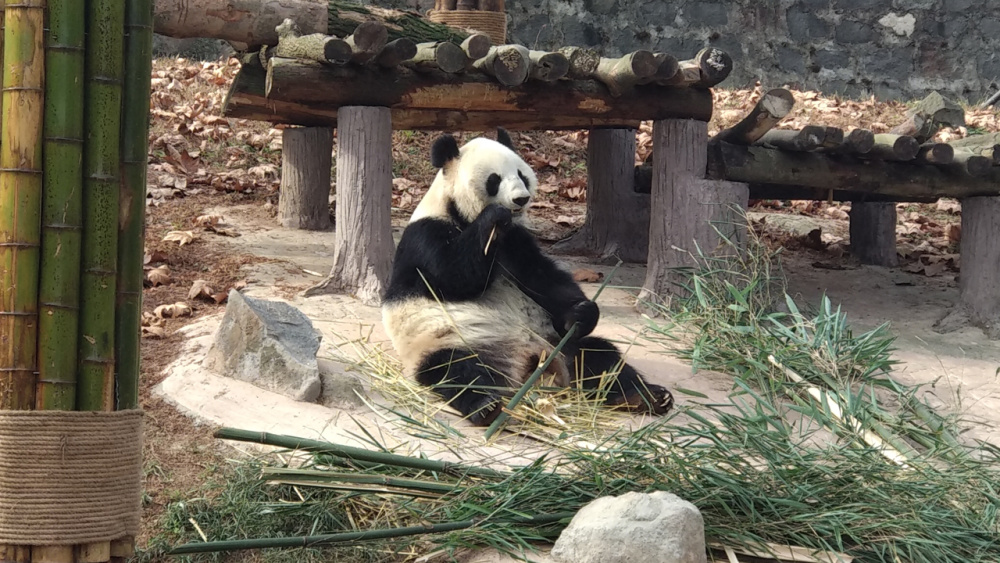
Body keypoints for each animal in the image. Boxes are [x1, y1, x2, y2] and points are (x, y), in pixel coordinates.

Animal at [378, 129, 676, 428]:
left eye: (522, 175)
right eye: (494, 180)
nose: (521, 199)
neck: (458, 213)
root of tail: (528, 362)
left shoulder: (516, 242)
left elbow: (543, 277)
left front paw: (581, 313)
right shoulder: (425, 236)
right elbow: (453, 277)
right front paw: (493, 217)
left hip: (557, 344)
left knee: (599, 358)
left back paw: (646, 396)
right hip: (451, 342)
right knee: (459, 371)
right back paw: (487, 406)